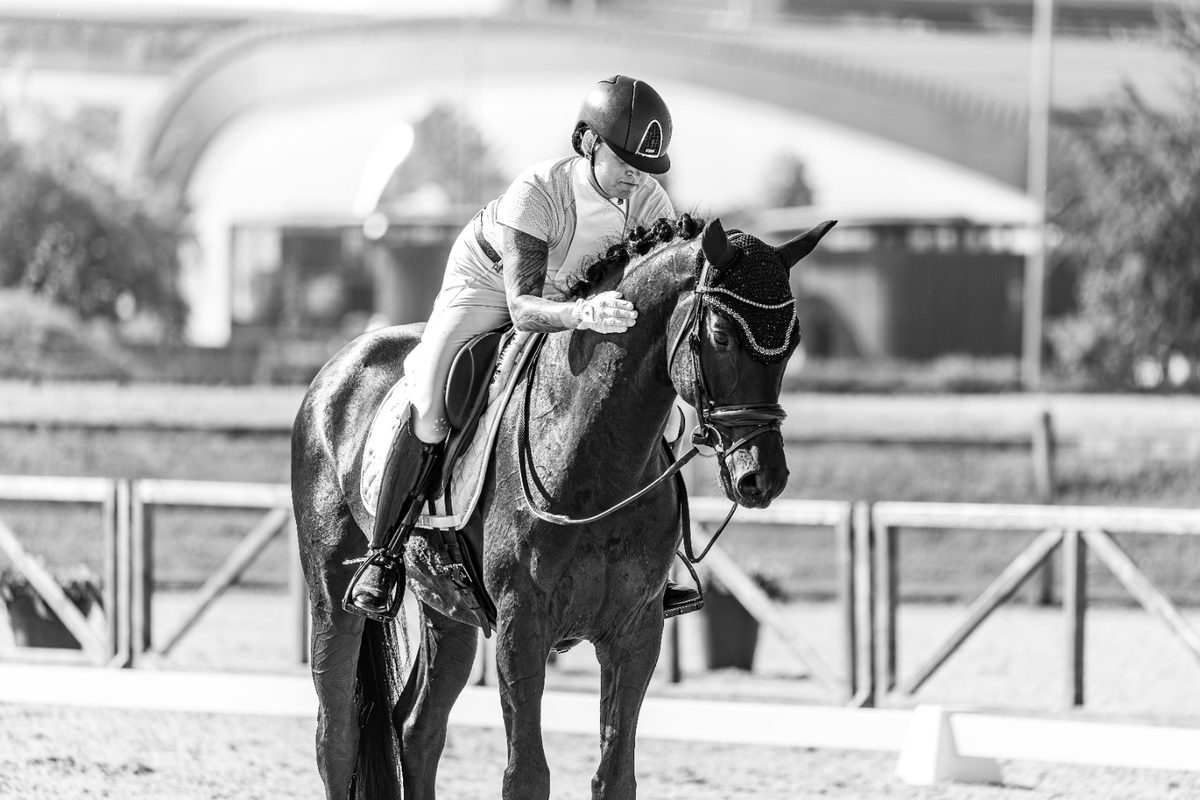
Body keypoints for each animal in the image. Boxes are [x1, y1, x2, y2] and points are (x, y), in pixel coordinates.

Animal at [291, 215, 834, 800]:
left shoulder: (636, 629)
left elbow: (616, 774)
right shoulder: (522, 624)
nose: (763, 478)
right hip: (333, 596)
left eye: (793, 342)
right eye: (721, 336)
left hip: (447, 609)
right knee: (337, 736)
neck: (597, 457)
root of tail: (341, 363)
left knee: (417, 728)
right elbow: (526, 775)